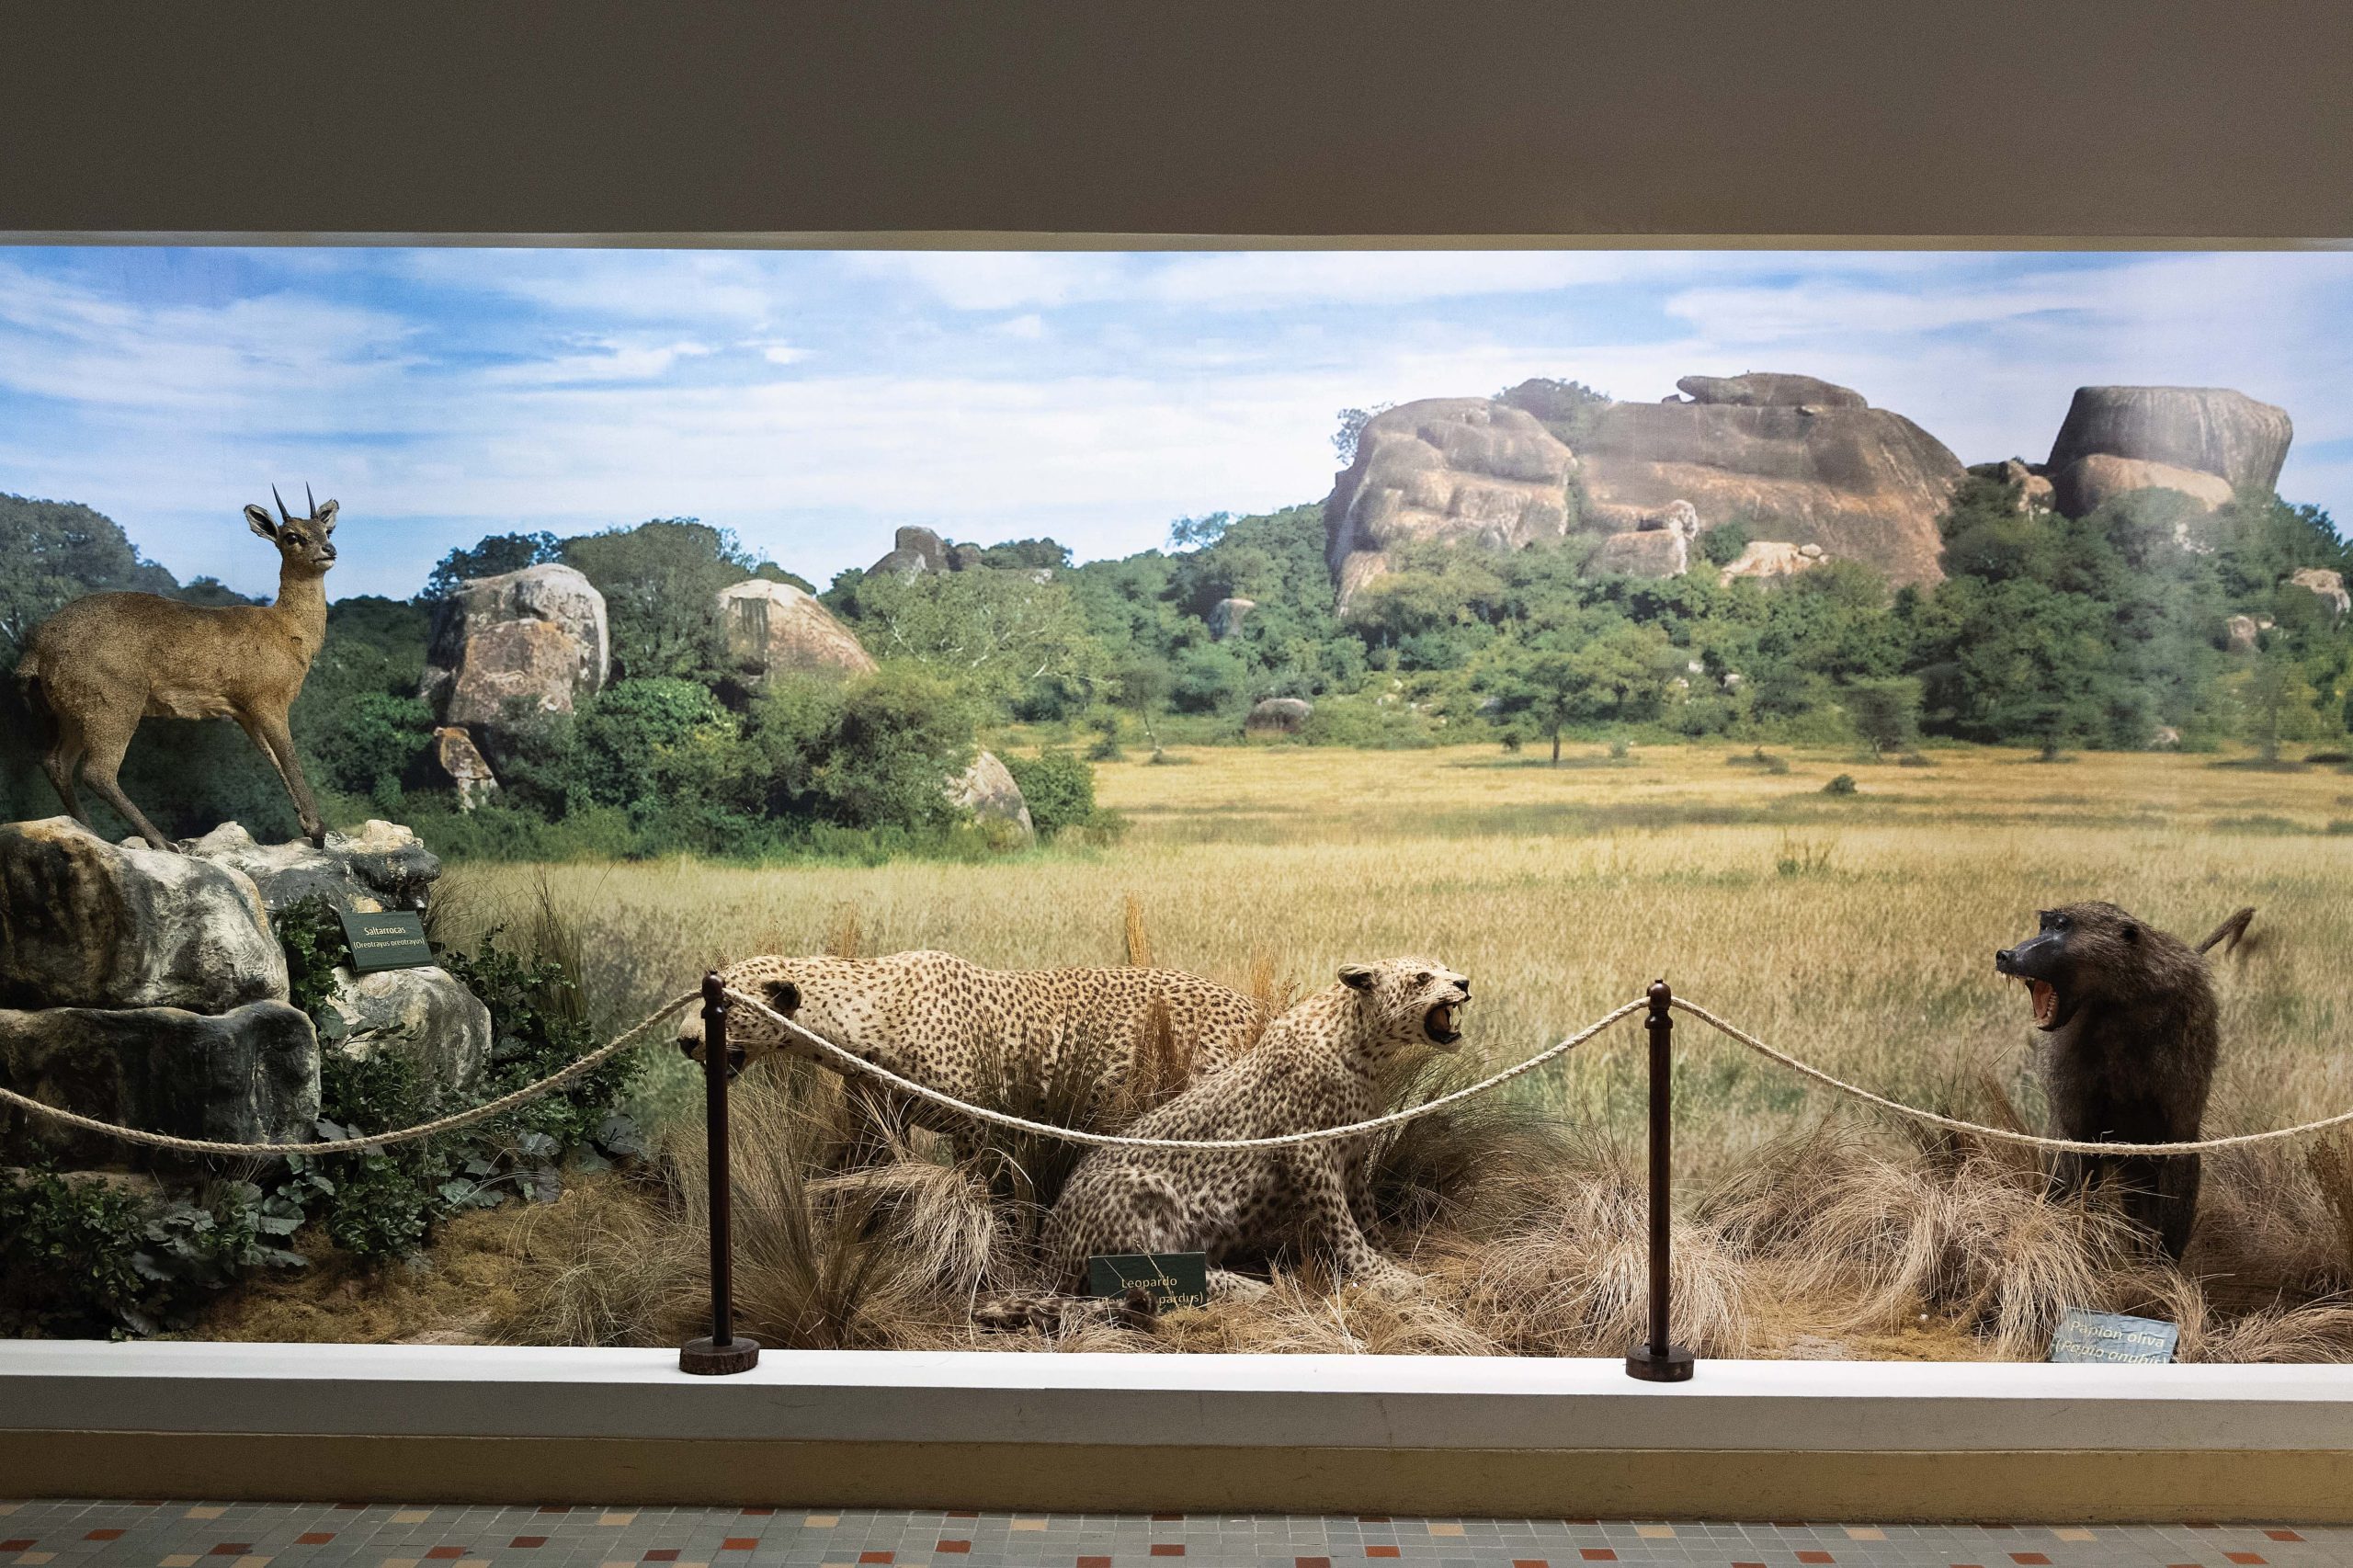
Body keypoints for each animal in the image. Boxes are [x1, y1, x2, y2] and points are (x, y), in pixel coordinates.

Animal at [978, 950, 1468, 1318]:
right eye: (1424, 977)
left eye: (1446, 967)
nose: (1463, 982)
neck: (1362, 1049)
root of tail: (1046, 1255)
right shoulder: (1306, 1152)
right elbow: (1341, 1224)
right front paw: (1383, 1277)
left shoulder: (1350, 1154)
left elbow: (1365, 1214)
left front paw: (1390, 1256)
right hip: (1138, 1188)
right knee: (1137, 1274)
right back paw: (1250, 1288)